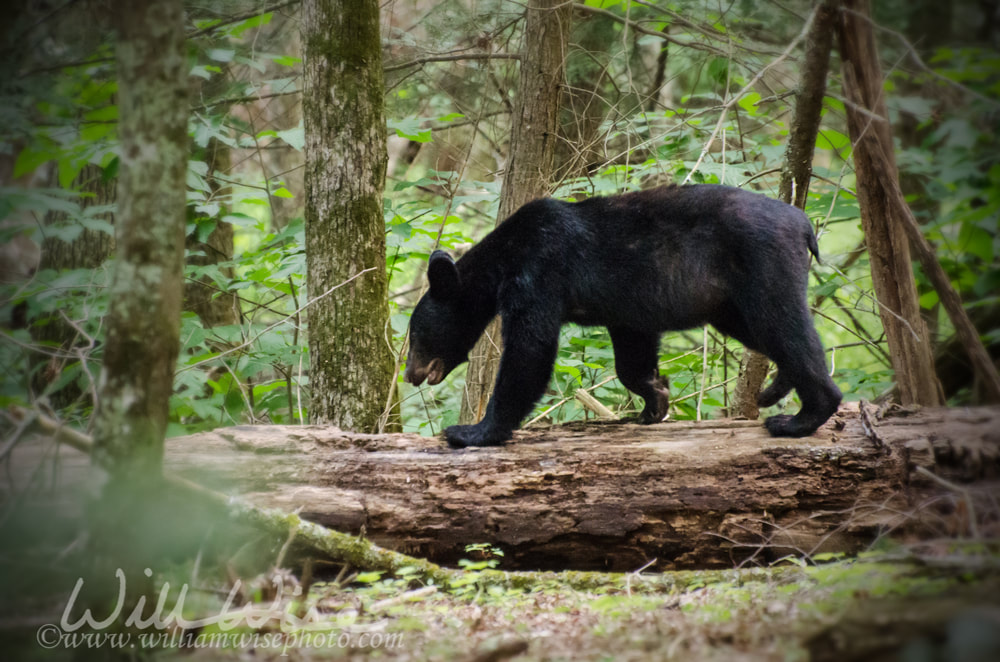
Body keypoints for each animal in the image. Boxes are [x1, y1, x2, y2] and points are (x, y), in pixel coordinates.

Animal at [402, 184, 840, 448]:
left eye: (415, 335)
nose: (410, 374)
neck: (505, 256)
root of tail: (803, 223)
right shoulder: (627, 309)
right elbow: (632, 353)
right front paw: (654, 400)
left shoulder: (540, 273)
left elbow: (530, 350)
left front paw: (473, 432)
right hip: (726, 302)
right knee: (765, 333)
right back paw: (776, 388)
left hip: (763, 264)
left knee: (784, 327)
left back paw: (799, 419)